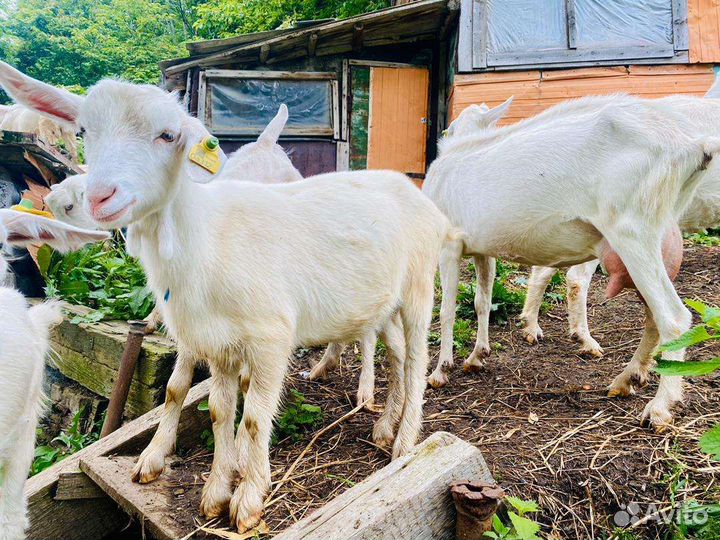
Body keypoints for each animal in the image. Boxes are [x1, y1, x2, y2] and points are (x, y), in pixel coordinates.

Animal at [423, 91, 720, 429]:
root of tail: (694, 145)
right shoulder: (482, 249)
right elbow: (482, 302)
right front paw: (476, 357)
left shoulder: (448, 244)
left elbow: (446, 310)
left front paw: (440, 371)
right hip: (655, 235)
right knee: (653, 317)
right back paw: (627, 379)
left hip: (632, 231)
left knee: (674, 317)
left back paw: (658, 408)